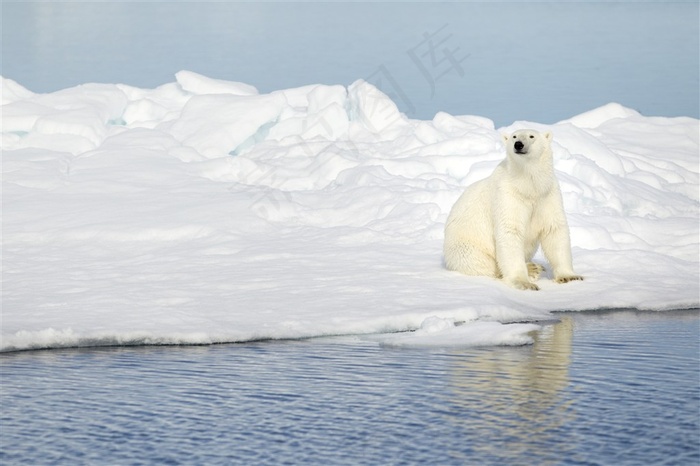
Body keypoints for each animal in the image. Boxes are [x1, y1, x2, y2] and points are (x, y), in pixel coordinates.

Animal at [442, 127, 584, 288]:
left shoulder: (547, 194)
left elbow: (554, 229)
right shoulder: (508, 194)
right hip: (466, 247)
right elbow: (510, 230)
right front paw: (524, 282)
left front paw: (570, 277)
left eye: (531, 136)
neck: (528, 186)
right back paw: (532, 268)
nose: (518, 144)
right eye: (514, 136)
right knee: (482, 263)